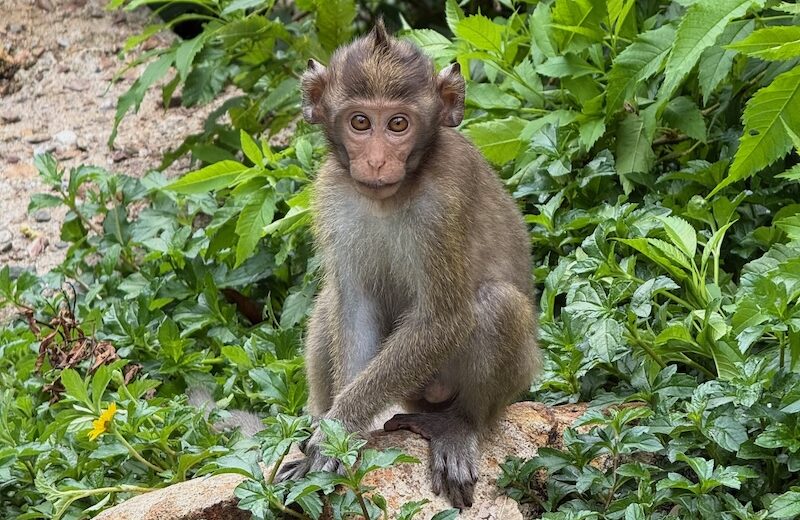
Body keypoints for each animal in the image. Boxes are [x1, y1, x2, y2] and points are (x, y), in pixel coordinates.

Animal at [272, 20, 541, 509]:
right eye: (360, 122)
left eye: (398, 124)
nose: (377, 161)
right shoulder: (332, 192)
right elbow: (353, 303)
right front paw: (338, 434)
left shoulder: (444, 200)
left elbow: (444, 318)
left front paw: (339, 429)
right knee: (328, 301)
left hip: (507, 379)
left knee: (497, 305)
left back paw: (459, 426)